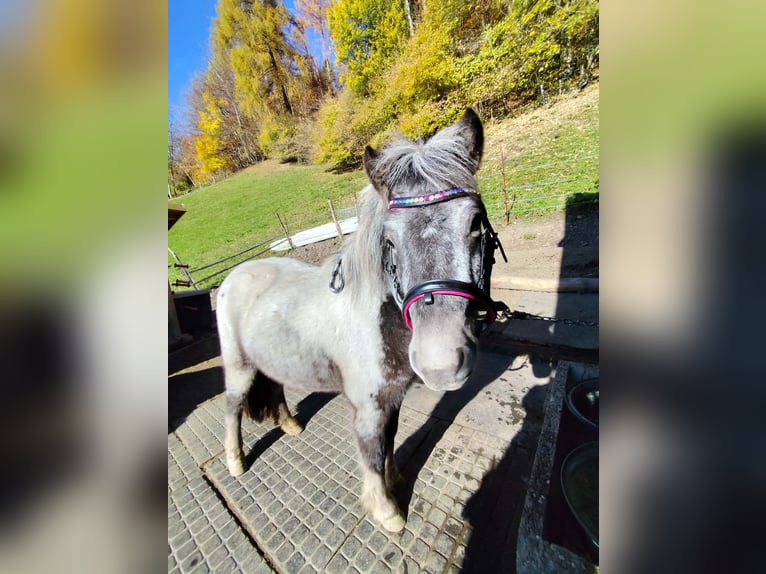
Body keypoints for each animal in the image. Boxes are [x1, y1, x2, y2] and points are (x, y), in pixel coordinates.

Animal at [216, 109, 505, 532]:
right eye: (389, 240)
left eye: (475, 222)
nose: (441, 362)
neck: (375, 322)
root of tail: (232, 277)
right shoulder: (368, 408)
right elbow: (372, 453)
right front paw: (387, 512)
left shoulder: (392, 399)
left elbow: (390, 443)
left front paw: (396, 478)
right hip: (238, 368)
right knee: (233, 408)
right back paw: (236, 463)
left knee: (275, 387)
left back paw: (290, 426)